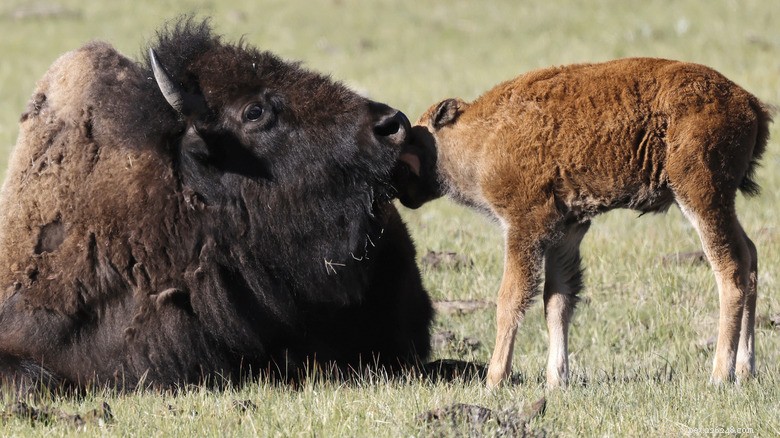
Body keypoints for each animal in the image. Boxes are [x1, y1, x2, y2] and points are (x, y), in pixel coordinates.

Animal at [395, 57, 771, 388]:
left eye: (413, 139)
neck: (482, 135)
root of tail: (750, 104)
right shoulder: (567, 231)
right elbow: (557, 301)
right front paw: (556, 380)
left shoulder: (524, 229)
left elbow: (510, 300)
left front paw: (494, 380)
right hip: (716, 203)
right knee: (750, 257)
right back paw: (745, 370)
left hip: (701, 196)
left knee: (731, 270)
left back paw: (720, 375)